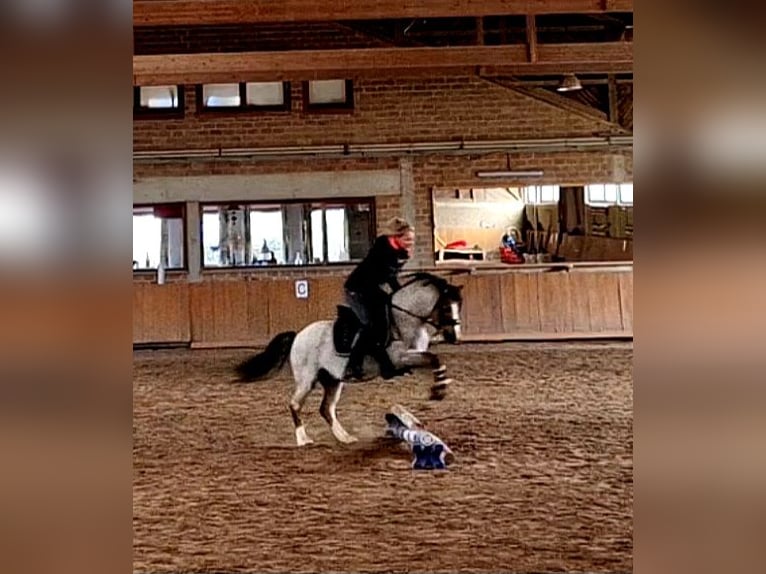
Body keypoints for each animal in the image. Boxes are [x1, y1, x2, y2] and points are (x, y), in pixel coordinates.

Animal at [234, 272, 463, 446]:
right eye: (445, 307)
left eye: (458, 306)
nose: (455, 337)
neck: (402, 320)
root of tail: (298, 335)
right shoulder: (400, 358)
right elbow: (434, 358)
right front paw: (438, 391)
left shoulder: (412, 357)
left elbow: (433, 359)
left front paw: (440, 386)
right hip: (307, 380)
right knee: (295, 405)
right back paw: (303, 439)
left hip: (333, 380)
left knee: (326, 409)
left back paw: (344, 437)